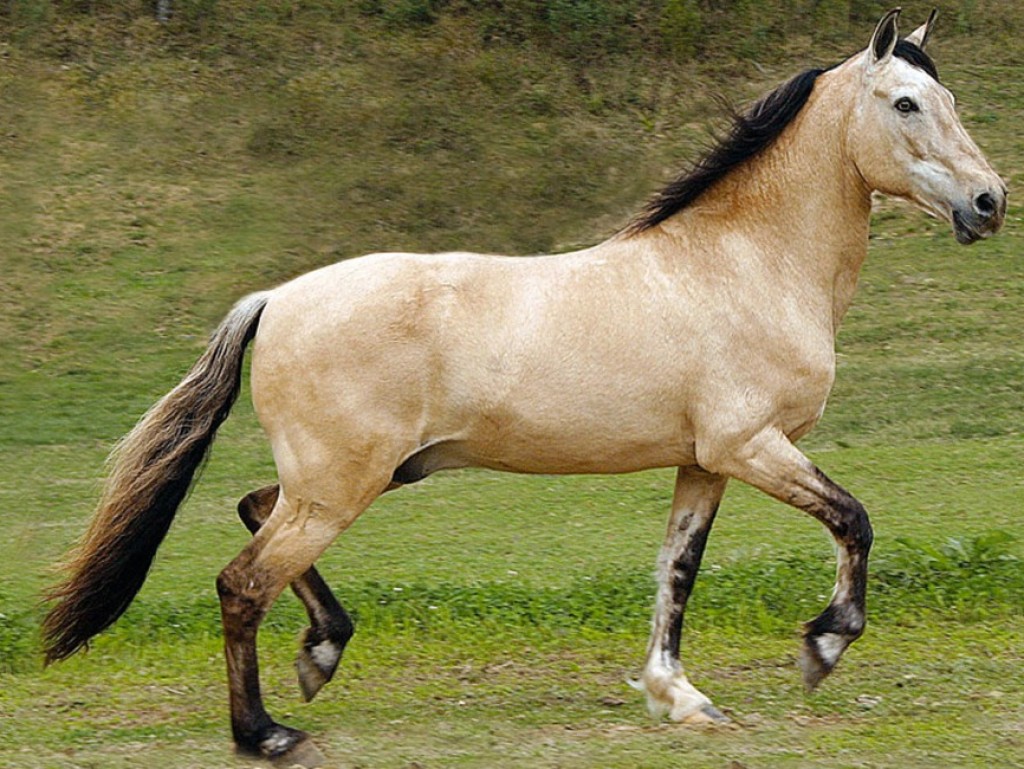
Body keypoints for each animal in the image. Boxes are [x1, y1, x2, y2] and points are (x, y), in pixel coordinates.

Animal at [43, 9, 1005, 766]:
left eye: (951, 100)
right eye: (907, 103)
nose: (990, 202)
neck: (745, 263)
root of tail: (275, 297)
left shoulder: (705, 462)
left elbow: (677, 571)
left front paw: (678, 697)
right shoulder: (752, 446)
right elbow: (854, 518)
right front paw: (823, 645)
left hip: (354, 476)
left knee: (251, 511)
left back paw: (322, 653)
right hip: (341, 485)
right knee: (242, 583)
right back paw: (267, 733)